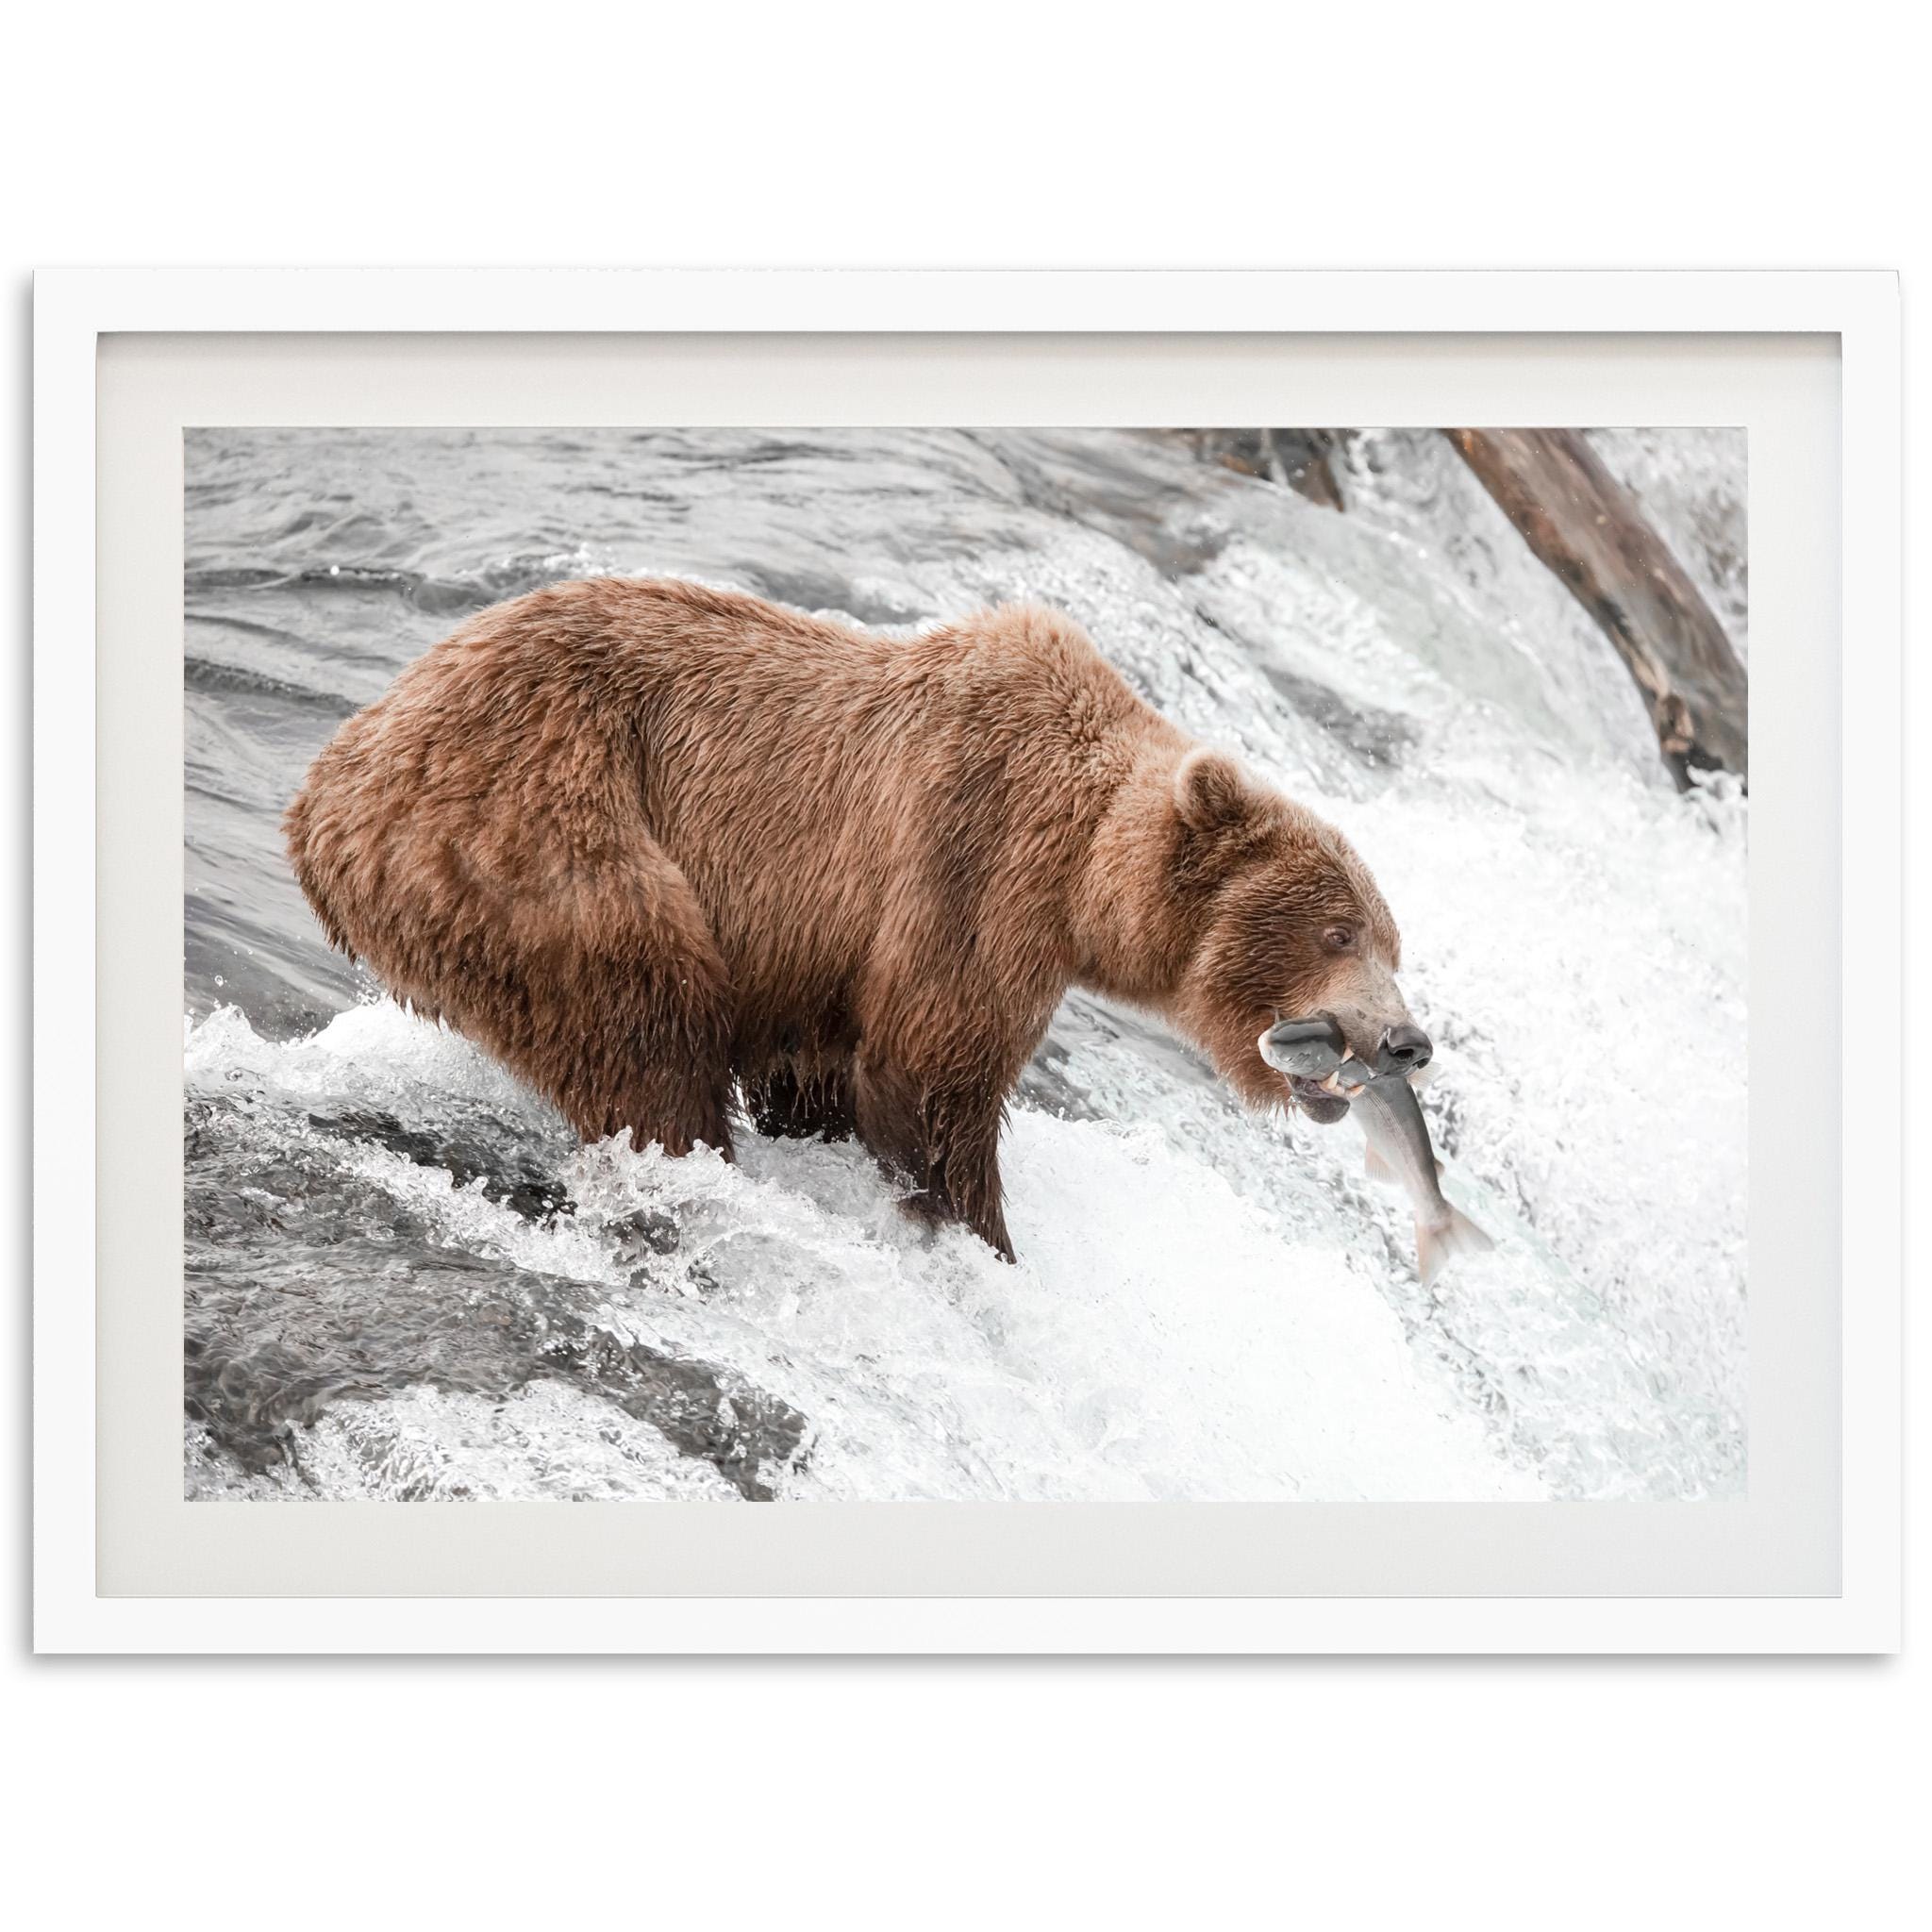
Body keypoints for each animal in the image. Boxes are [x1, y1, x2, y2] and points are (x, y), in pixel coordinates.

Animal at [285, 577, 1427, 1261]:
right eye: (1337, 931)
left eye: (1391, 940)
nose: (1405, 1041)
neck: (1082, 876)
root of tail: (326, 787)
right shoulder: (972, 864)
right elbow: (930, 1075)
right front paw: (982, 1238)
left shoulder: (821, 957)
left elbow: (821, 1071)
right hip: (539, 830)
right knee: (645, 1025)